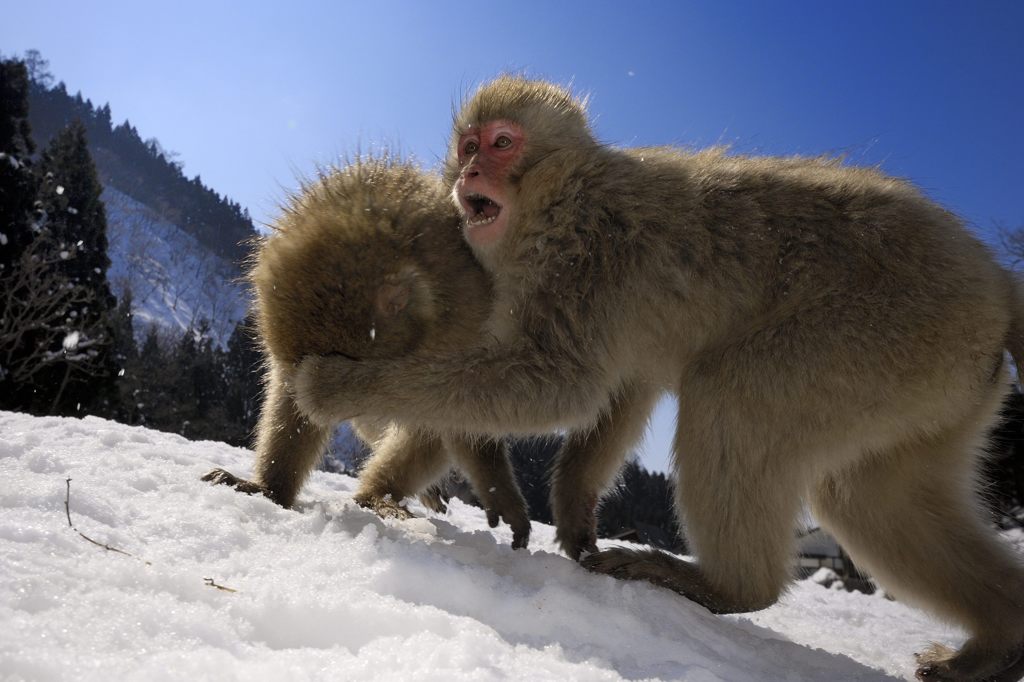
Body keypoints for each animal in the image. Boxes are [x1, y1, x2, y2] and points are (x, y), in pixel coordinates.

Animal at [202, 155, 532, 548]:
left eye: (341, 368)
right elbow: (292, 405)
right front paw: (269, 489)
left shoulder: (468, 324)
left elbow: (466, 411)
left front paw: (499, 492)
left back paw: (379, 496)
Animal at [286, 76, 1024, 675]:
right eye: (469, 144)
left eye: (500, 143)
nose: (468, 168)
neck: (560, 195)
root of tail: (993, 281)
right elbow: (625, 386)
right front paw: (571, 513)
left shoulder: (587, 259)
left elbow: (555, 384)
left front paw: (341, 386)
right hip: (933, 375)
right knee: (869, 495)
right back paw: (996, 639)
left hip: (884, 330)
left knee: (734, 394)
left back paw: (729, 587)